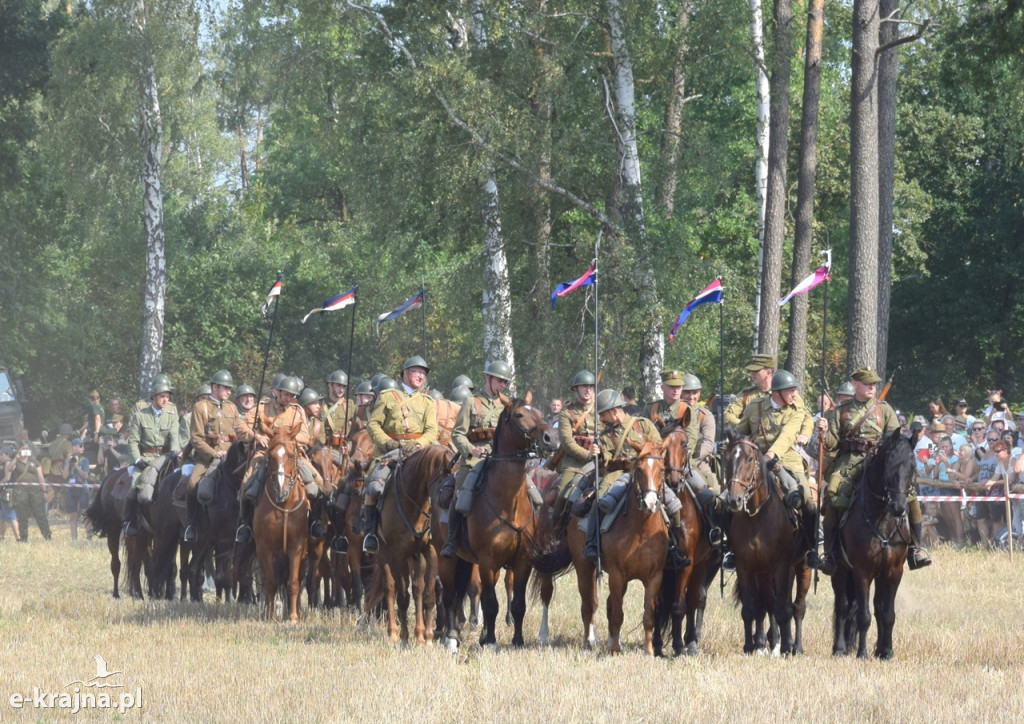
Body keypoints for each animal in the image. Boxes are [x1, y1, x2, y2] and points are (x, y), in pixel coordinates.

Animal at [251, 423, 307, 622]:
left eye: (291, 455)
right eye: (270, 456)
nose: (281, 491)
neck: (284, 505)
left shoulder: (297, 546)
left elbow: (293, 582)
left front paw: (293, 617)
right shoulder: (264, 547)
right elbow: (270, 581)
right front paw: (269, 616)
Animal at [438, 397, 557, 651]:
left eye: (538, 412)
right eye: (519, 415)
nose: (551, 437)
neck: (507, 501)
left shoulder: (522, 561)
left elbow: (518, 603)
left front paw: (517, 640)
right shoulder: (487, 561)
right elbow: (490, 602)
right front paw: (491, 641)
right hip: (446, 558)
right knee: (450, 594)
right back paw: (451, 637)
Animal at [720, 434, 806, 659]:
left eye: (750, 459)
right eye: (728, 458)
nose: (734, 499)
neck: (757, 516)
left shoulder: (781, 566)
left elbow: (783, 608)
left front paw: (785, 647)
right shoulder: (746, 567)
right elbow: (752, 608)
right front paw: (752, 646)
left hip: (802, 567)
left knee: (797, 607)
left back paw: (795, 646)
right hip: (766, 573)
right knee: (769, 603)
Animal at [827, 430, 917, 663]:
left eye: (913, 466)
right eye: (890, 464)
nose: (899, 507)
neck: (882, 517)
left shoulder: (893, 571)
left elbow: (887, 613)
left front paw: (886, 651)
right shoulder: (862, 572)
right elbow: (863, 615)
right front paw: (862, 654)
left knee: (876, 607)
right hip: (840, 570)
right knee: (843, 605)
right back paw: (840, 648)